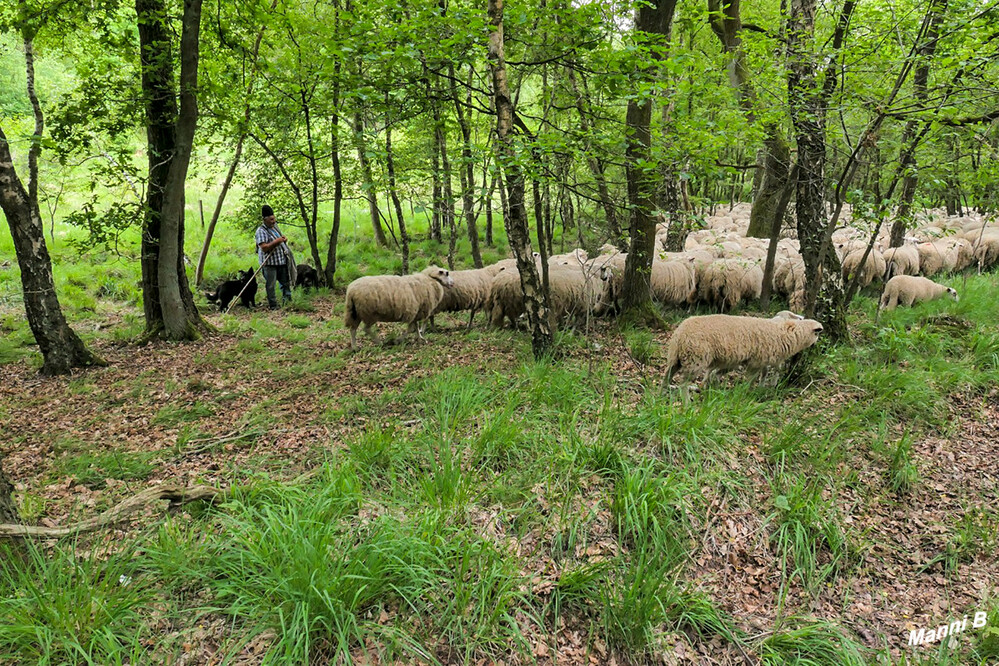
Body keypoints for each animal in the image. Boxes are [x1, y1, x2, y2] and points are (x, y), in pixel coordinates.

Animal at [668, 312, 824, 384]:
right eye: (817, 333)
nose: (815, 345)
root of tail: (681, 332)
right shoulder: (757, 362)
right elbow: (752, 379)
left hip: (676, 357)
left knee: (668, 376)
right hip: (696, 358)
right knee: (684, 382)